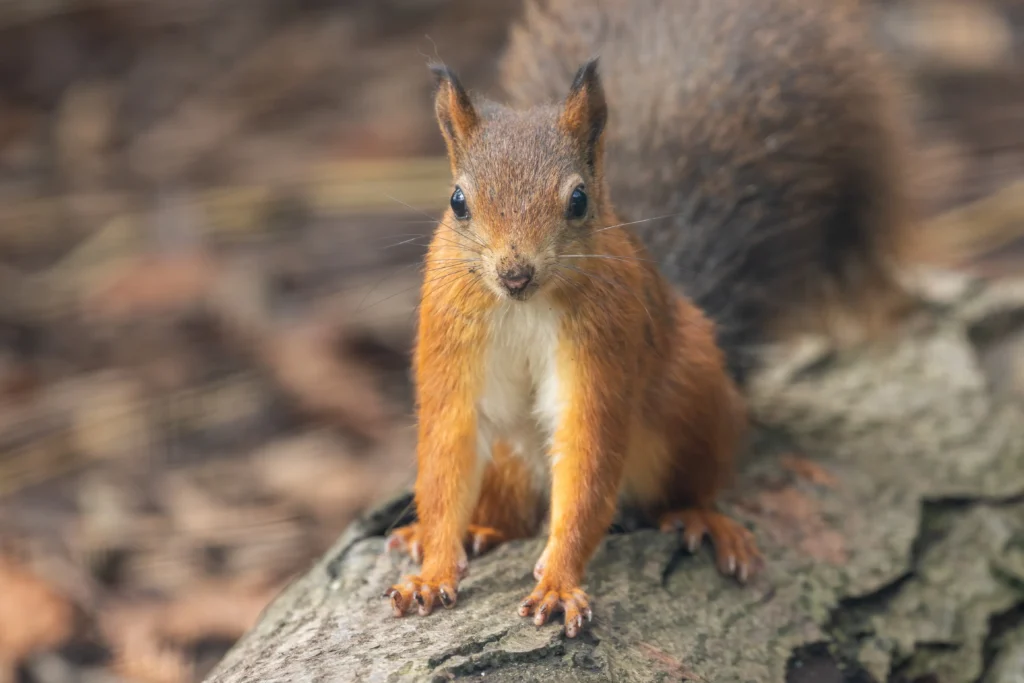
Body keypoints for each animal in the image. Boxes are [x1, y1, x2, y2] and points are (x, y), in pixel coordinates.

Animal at [383, 0, 915, 638]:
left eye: (579, 200)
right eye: (458, 201)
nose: (515, 273)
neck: (524, 306)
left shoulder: (606, 342)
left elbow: (587, 457)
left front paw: (559, 582)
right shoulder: (451, 338)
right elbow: (448, 454)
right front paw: (433, 570)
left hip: (692, 400)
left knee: (684, 486)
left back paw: (701, 518)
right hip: (508, 465)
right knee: (511, 512)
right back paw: (477, 529)